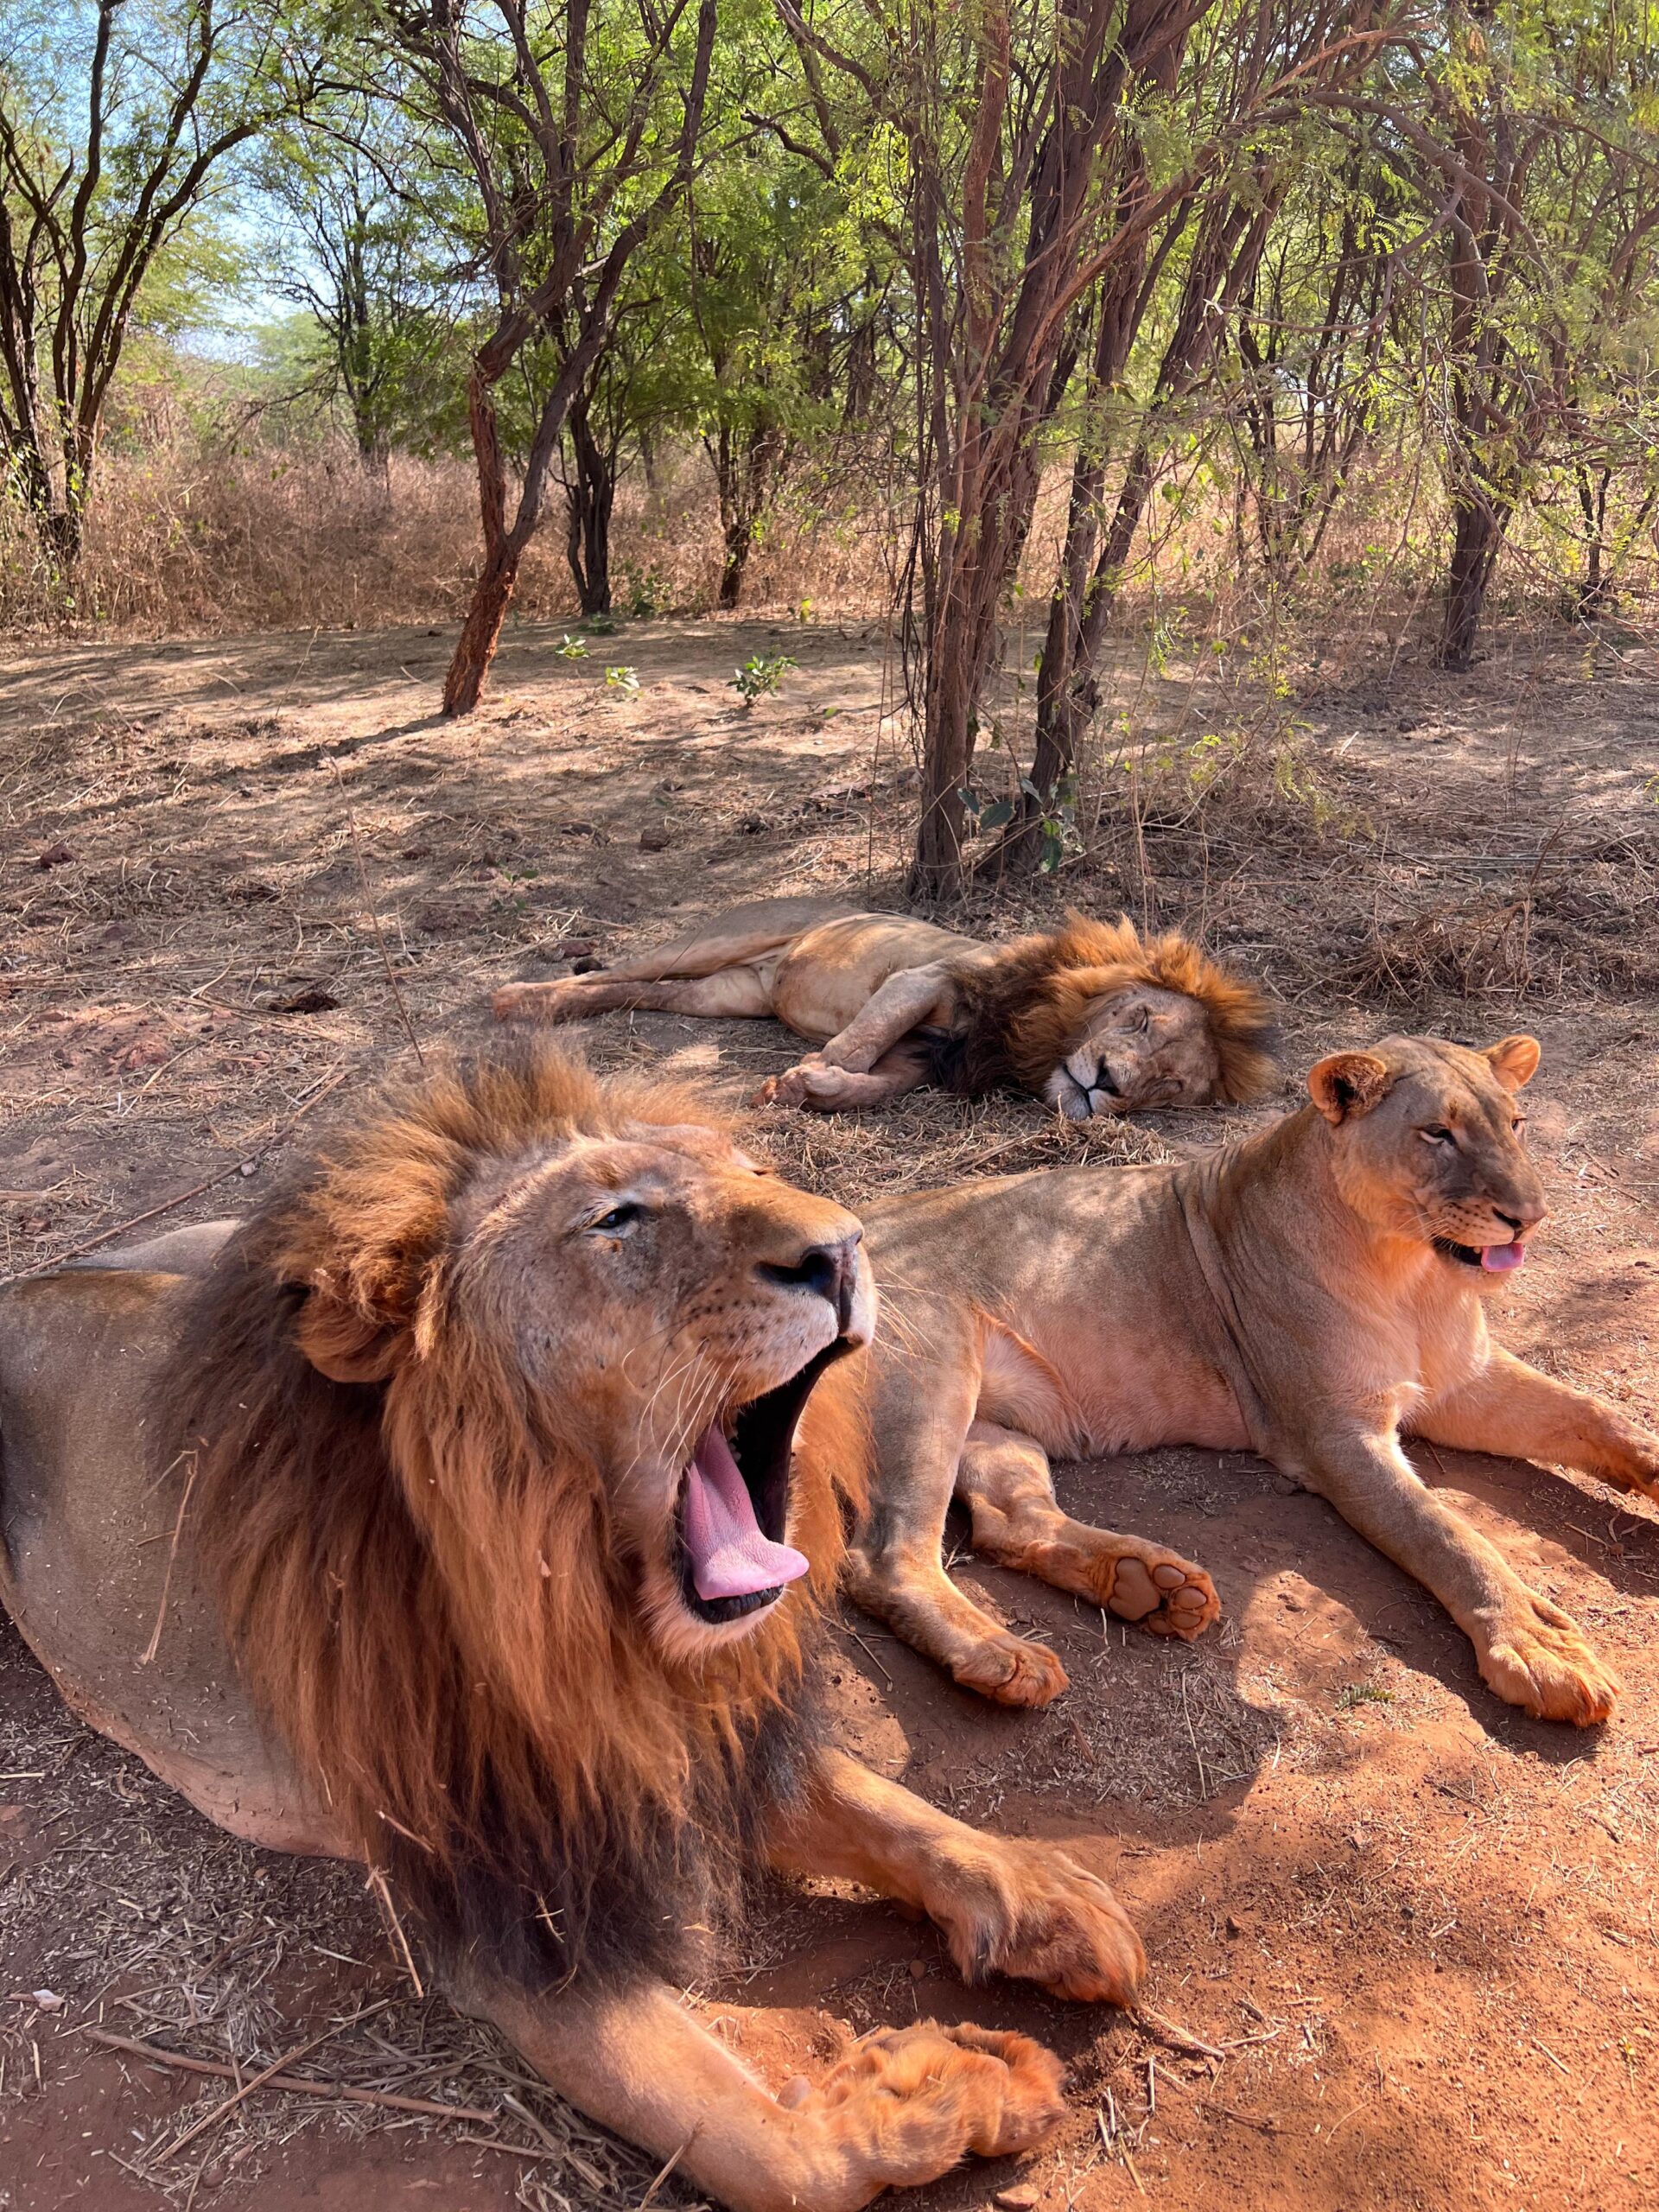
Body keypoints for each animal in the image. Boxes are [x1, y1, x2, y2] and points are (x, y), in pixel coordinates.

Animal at [0, 1047, 1146, 2212]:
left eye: (755, 1170)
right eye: (615, 1219)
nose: (845, 1247)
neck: (595, 1626)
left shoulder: (709, 1737)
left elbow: (887, 1805)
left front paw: (1046, 1895)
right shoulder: (506, 1911)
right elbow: (767, 2146)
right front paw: (948, 2094)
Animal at [493, 898, 1276, 1116]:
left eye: (1169, 1087)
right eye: (1137, 1019)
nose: (1108, 1083)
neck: (1032, 1033)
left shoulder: (925, 1058)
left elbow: (873, 1081)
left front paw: (820, 1088)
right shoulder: (927, 979)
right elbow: (859, 1039)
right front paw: (795, 1079)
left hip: (723, 996)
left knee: (640, 991)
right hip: (717, 939)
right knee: (621, 968)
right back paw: (520, 1000)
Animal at [810, 1033, 1659, 1726]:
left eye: (1515, 1125)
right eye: (1437, 1134)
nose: (1530, 1216)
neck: (1417, 1276)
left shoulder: (1463, 1380)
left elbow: (1596, 1415)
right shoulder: (1333, 1435)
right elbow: (1447, 1533)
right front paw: (1539, 1652)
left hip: (996, 1424)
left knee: (1006, 1522)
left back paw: (1149, 1585)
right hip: (929, 1374)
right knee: (884, 1559)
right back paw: (1005, 1659)